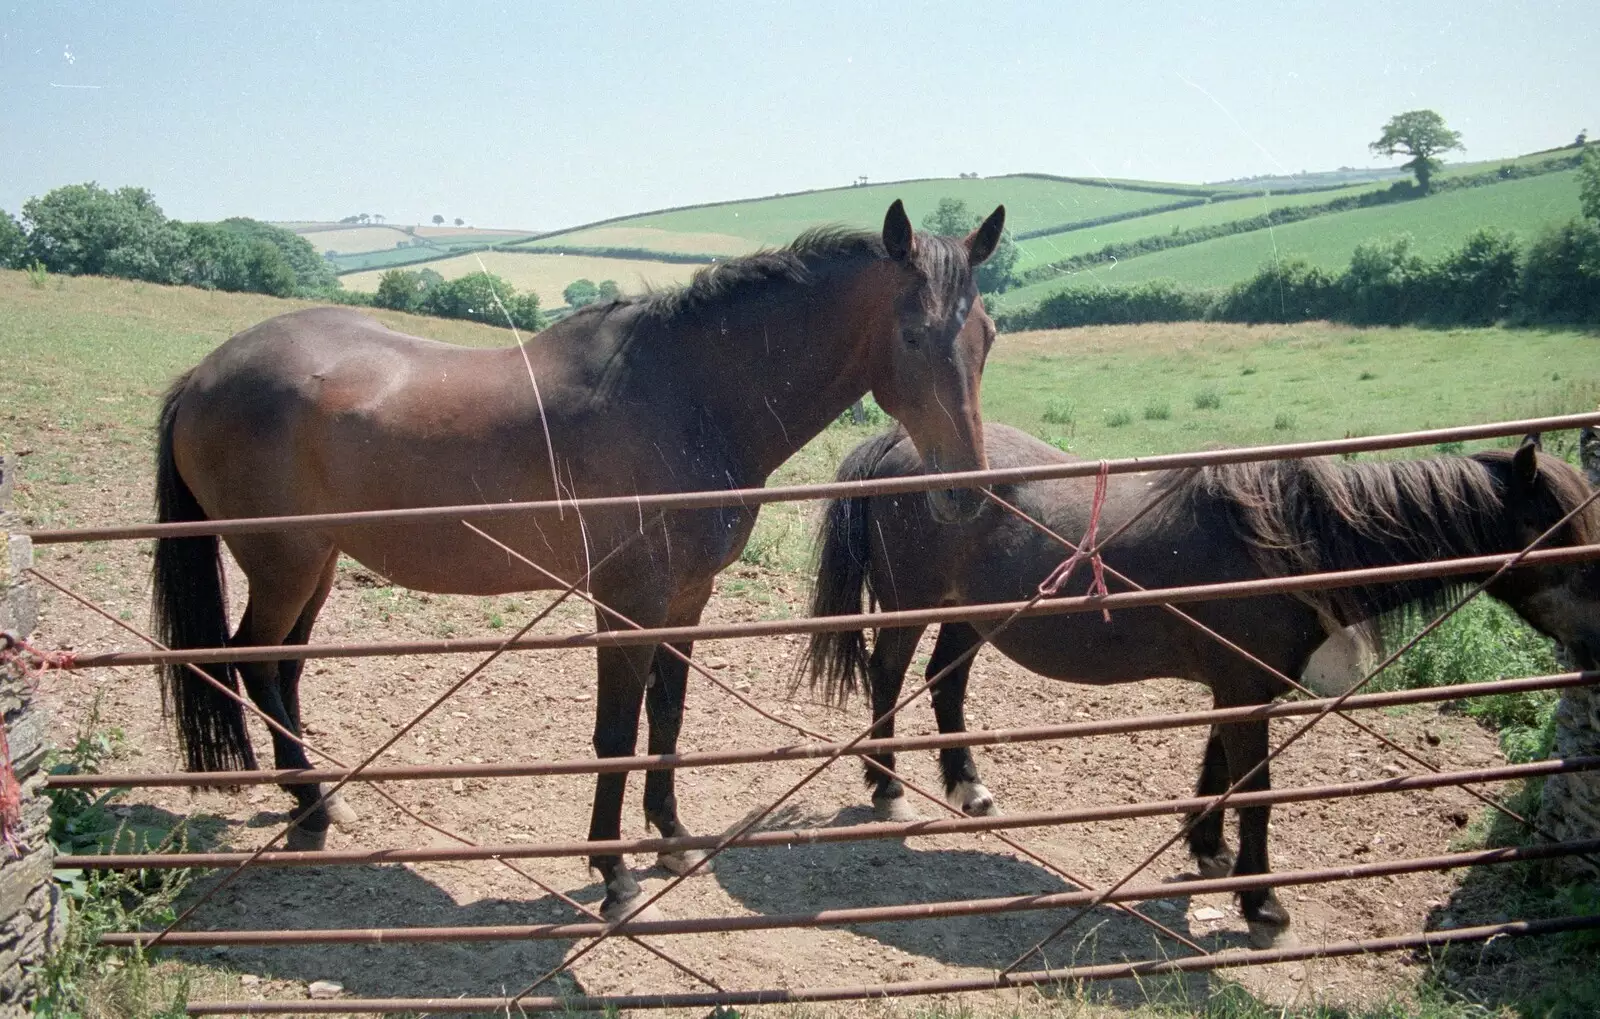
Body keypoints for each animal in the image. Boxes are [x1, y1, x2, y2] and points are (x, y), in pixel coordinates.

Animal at [147, 200, 998, 921]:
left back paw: (314, 801)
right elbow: (615, 730)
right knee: (251, 659)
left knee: (283, 668)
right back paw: (314, 805)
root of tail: (203, 374)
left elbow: (667, 715)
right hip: (283, 564)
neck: (686, 396)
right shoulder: (625, 600)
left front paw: (669, 832)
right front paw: (612, 870)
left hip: (317, 564)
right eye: (912, 332)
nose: (965, 492)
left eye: (986, 335)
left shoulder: (686, 598)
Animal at [812, 422, 1600, 947]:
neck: (1293, 543)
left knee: (944, 685)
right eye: (1564, 529)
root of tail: (895, 444)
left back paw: (968, 787)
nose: (1596, 637)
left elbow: (1220, 769)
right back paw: (884, 785)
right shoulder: (1246, 690)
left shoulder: (1239, 689)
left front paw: (1207, 847)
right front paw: (1262, 904)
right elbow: (1255, 793)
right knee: (889, 676)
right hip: (915, 606)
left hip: (973, 616)